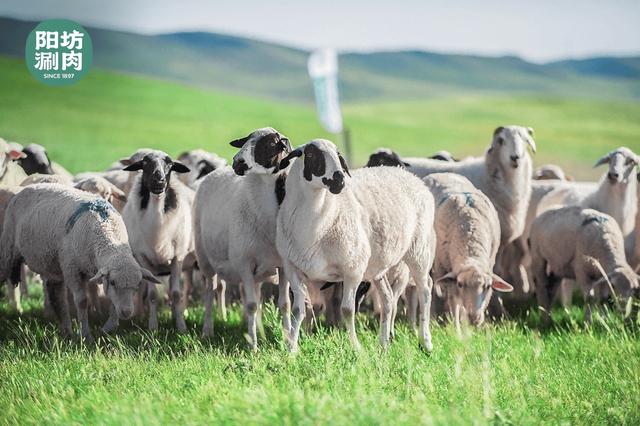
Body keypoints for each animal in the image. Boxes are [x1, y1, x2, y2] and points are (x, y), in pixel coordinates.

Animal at [0, 183, 159, 340]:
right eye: (113, 282)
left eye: (138, 284)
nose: (126, 313)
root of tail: (27, 187)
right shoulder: (72, 269)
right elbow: (82, 302)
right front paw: (85, 336)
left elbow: (112, 300)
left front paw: (108, 327)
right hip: (8, 247)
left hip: (52, 263)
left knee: (56, 295)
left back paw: (66, 331)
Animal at [121, 150, 194, 332]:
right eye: (144, 163)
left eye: (170, 164)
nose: (159, 180)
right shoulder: (144, 259)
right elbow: (152, 295)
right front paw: (153, 327)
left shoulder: (177, 257)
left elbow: (176, 294)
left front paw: (181, 327)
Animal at [194, 127, 294, 350]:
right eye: (246, 140)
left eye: (270, 144)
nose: (237, 162)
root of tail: (216, 171)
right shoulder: (244, 263)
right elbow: (250, 305)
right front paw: (253, 347)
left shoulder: (283, 266)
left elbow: (284, 304)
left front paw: (286, 341)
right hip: (204, 258)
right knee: (209, 292)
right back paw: (207, 330)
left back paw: (260, 334)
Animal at [276, 138, 436, 352]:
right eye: (310, 154)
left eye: (338, 155)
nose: (339, 180)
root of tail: (410, 176)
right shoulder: (293, 268)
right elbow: (298, 310)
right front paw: (292, 348)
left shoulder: (353, 270)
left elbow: (347, 310)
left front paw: (356, 348)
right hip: (378, 265)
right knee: (388, 298)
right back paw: (384, 344)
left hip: (419, 249)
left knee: (425, 290)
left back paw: (425, 342)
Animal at [424, 173, 516, 330]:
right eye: (460, 284)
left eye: (487, 286)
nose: (474, 318)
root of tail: (440, 173)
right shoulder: (443, 269)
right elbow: (452, 300)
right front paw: (453, 327)